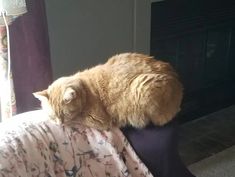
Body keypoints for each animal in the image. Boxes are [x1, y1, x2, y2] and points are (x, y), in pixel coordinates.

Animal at [33, 53, 184, 130]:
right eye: (53, 115)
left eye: (65, 114)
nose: (60, 124)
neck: (85, 89)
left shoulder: (97, 120)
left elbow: (76, 121)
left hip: (142, 87)